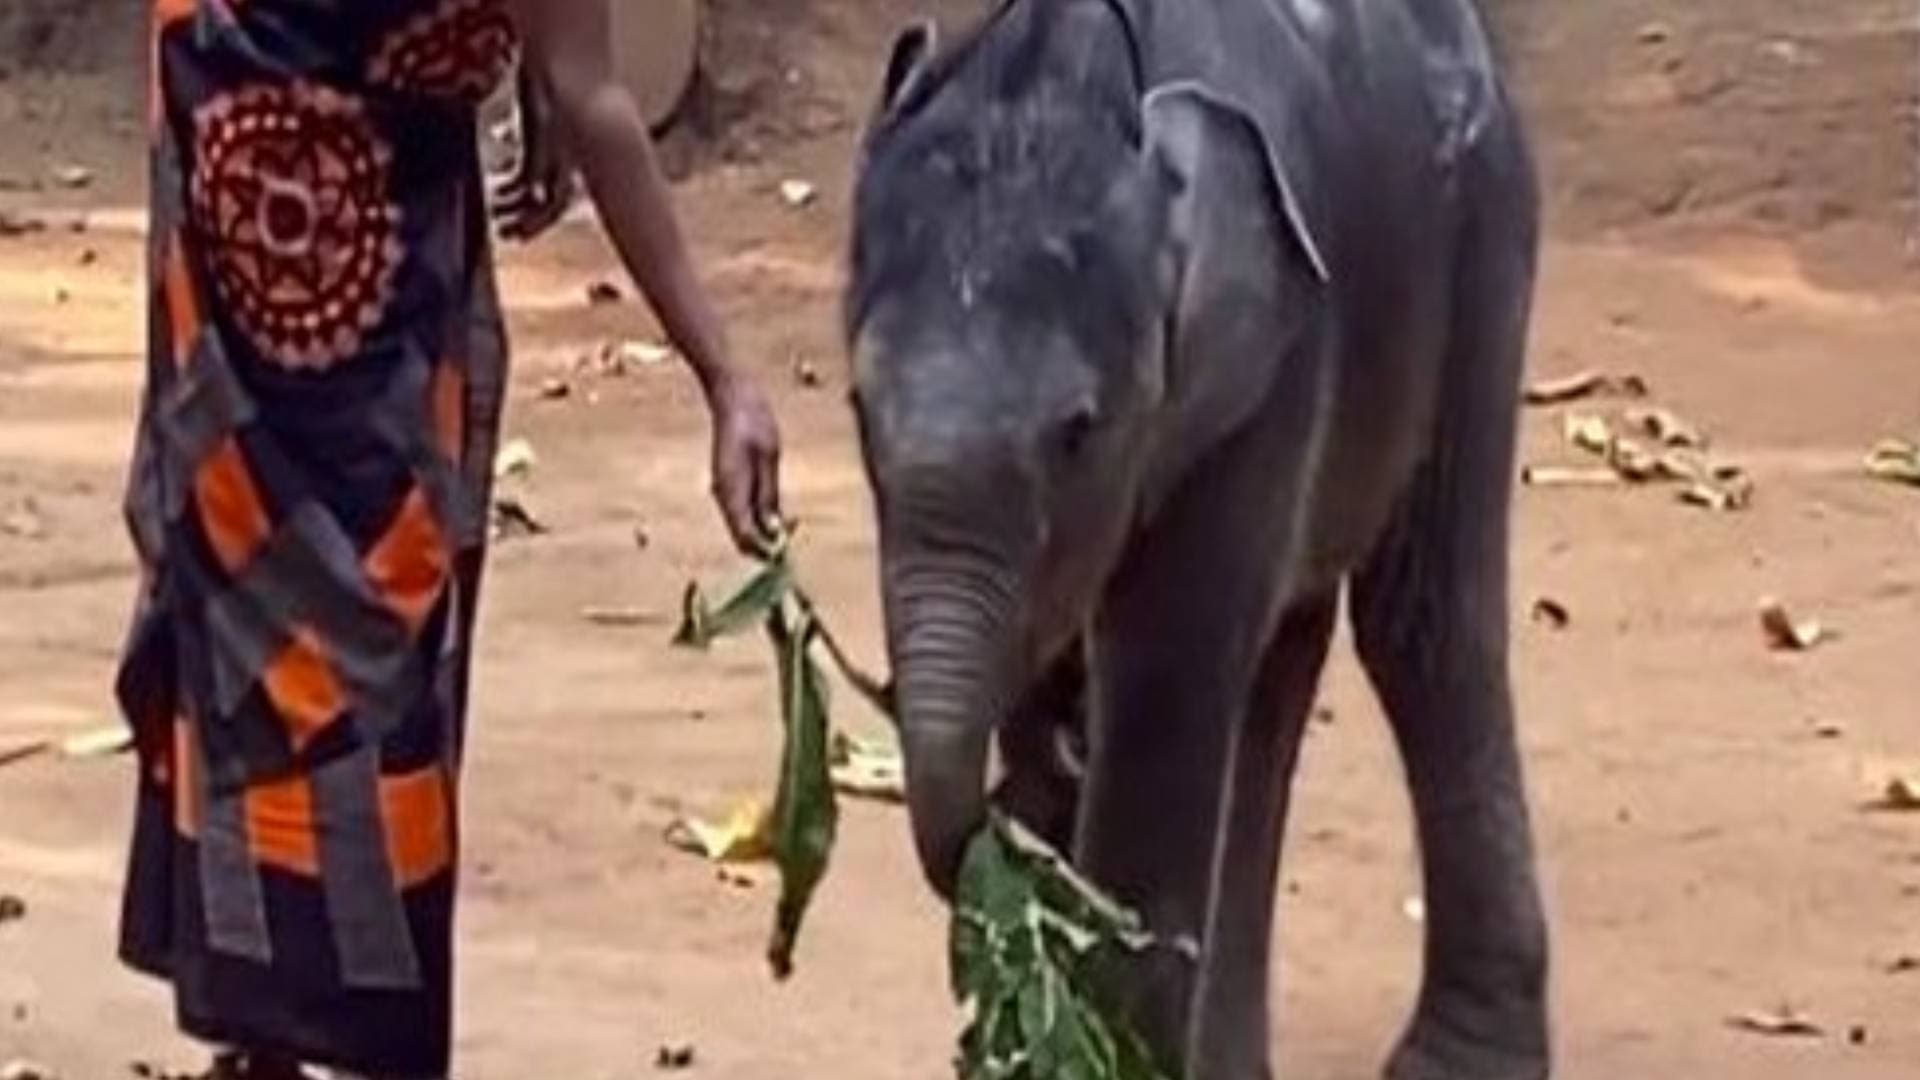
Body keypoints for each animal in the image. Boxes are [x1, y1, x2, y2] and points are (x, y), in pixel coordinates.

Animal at [843, 0, 1550, 1077]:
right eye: (858, 409)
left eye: (1078, 431)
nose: (1002, 824)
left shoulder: (1267, 357)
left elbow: (1164, 676)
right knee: (1280, 669)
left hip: (1483, 230)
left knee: (1423, 630)